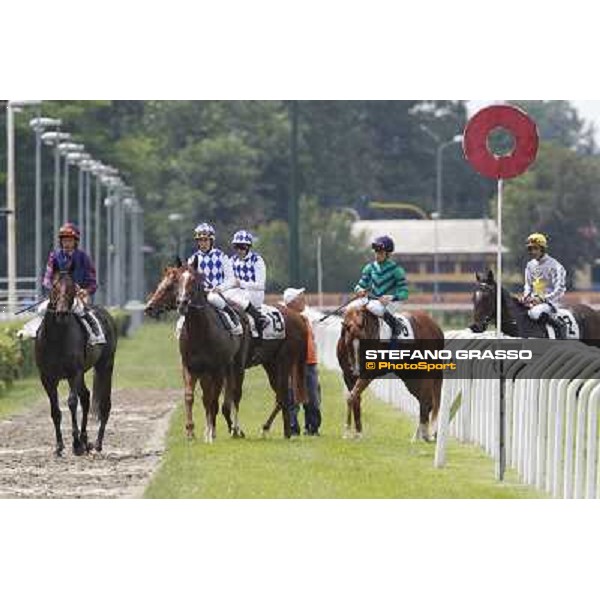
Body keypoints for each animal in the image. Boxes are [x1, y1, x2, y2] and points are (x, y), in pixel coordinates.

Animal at [36, 272, 119, 454]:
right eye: (54, 286)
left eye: (72, 288)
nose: (61, 313)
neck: (56, 339)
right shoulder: (47, 378)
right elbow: (55, 410)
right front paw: (59, 446)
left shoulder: (74, 372)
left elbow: (72, 403)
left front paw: (75, 444)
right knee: (86, 396)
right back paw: (85, 440)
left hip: (105, 365)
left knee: (104, 404)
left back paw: (97, 443)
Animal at [143, 268, 308, 440]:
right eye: (162, 284)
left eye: (170, 286)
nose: (149, 307)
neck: (201, 331)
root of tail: (297, 317)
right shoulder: (193, 367)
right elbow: (196, 397)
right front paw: (193, 431)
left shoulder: (221, 369)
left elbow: (220, 400)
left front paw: (224, 430)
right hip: (270, 364)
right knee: (279, 396)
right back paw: (269, 428)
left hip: (282, 361)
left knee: (280, 395)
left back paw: (284, 432)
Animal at [338, 304, 446, 440]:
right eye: (348, 343)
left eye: (364, 344)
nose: (356, 370)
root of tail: (436, 327)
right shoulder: (347, 375)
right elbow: (355, 398)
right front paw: (357, 432)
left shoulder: (368, 373)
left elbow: (351, 397)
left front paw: (347, 431)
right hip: (410, 376)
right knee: (427, 402)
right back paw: (418, 436)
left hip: (426, 371)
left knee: (426, 401)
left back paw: (425, 435)